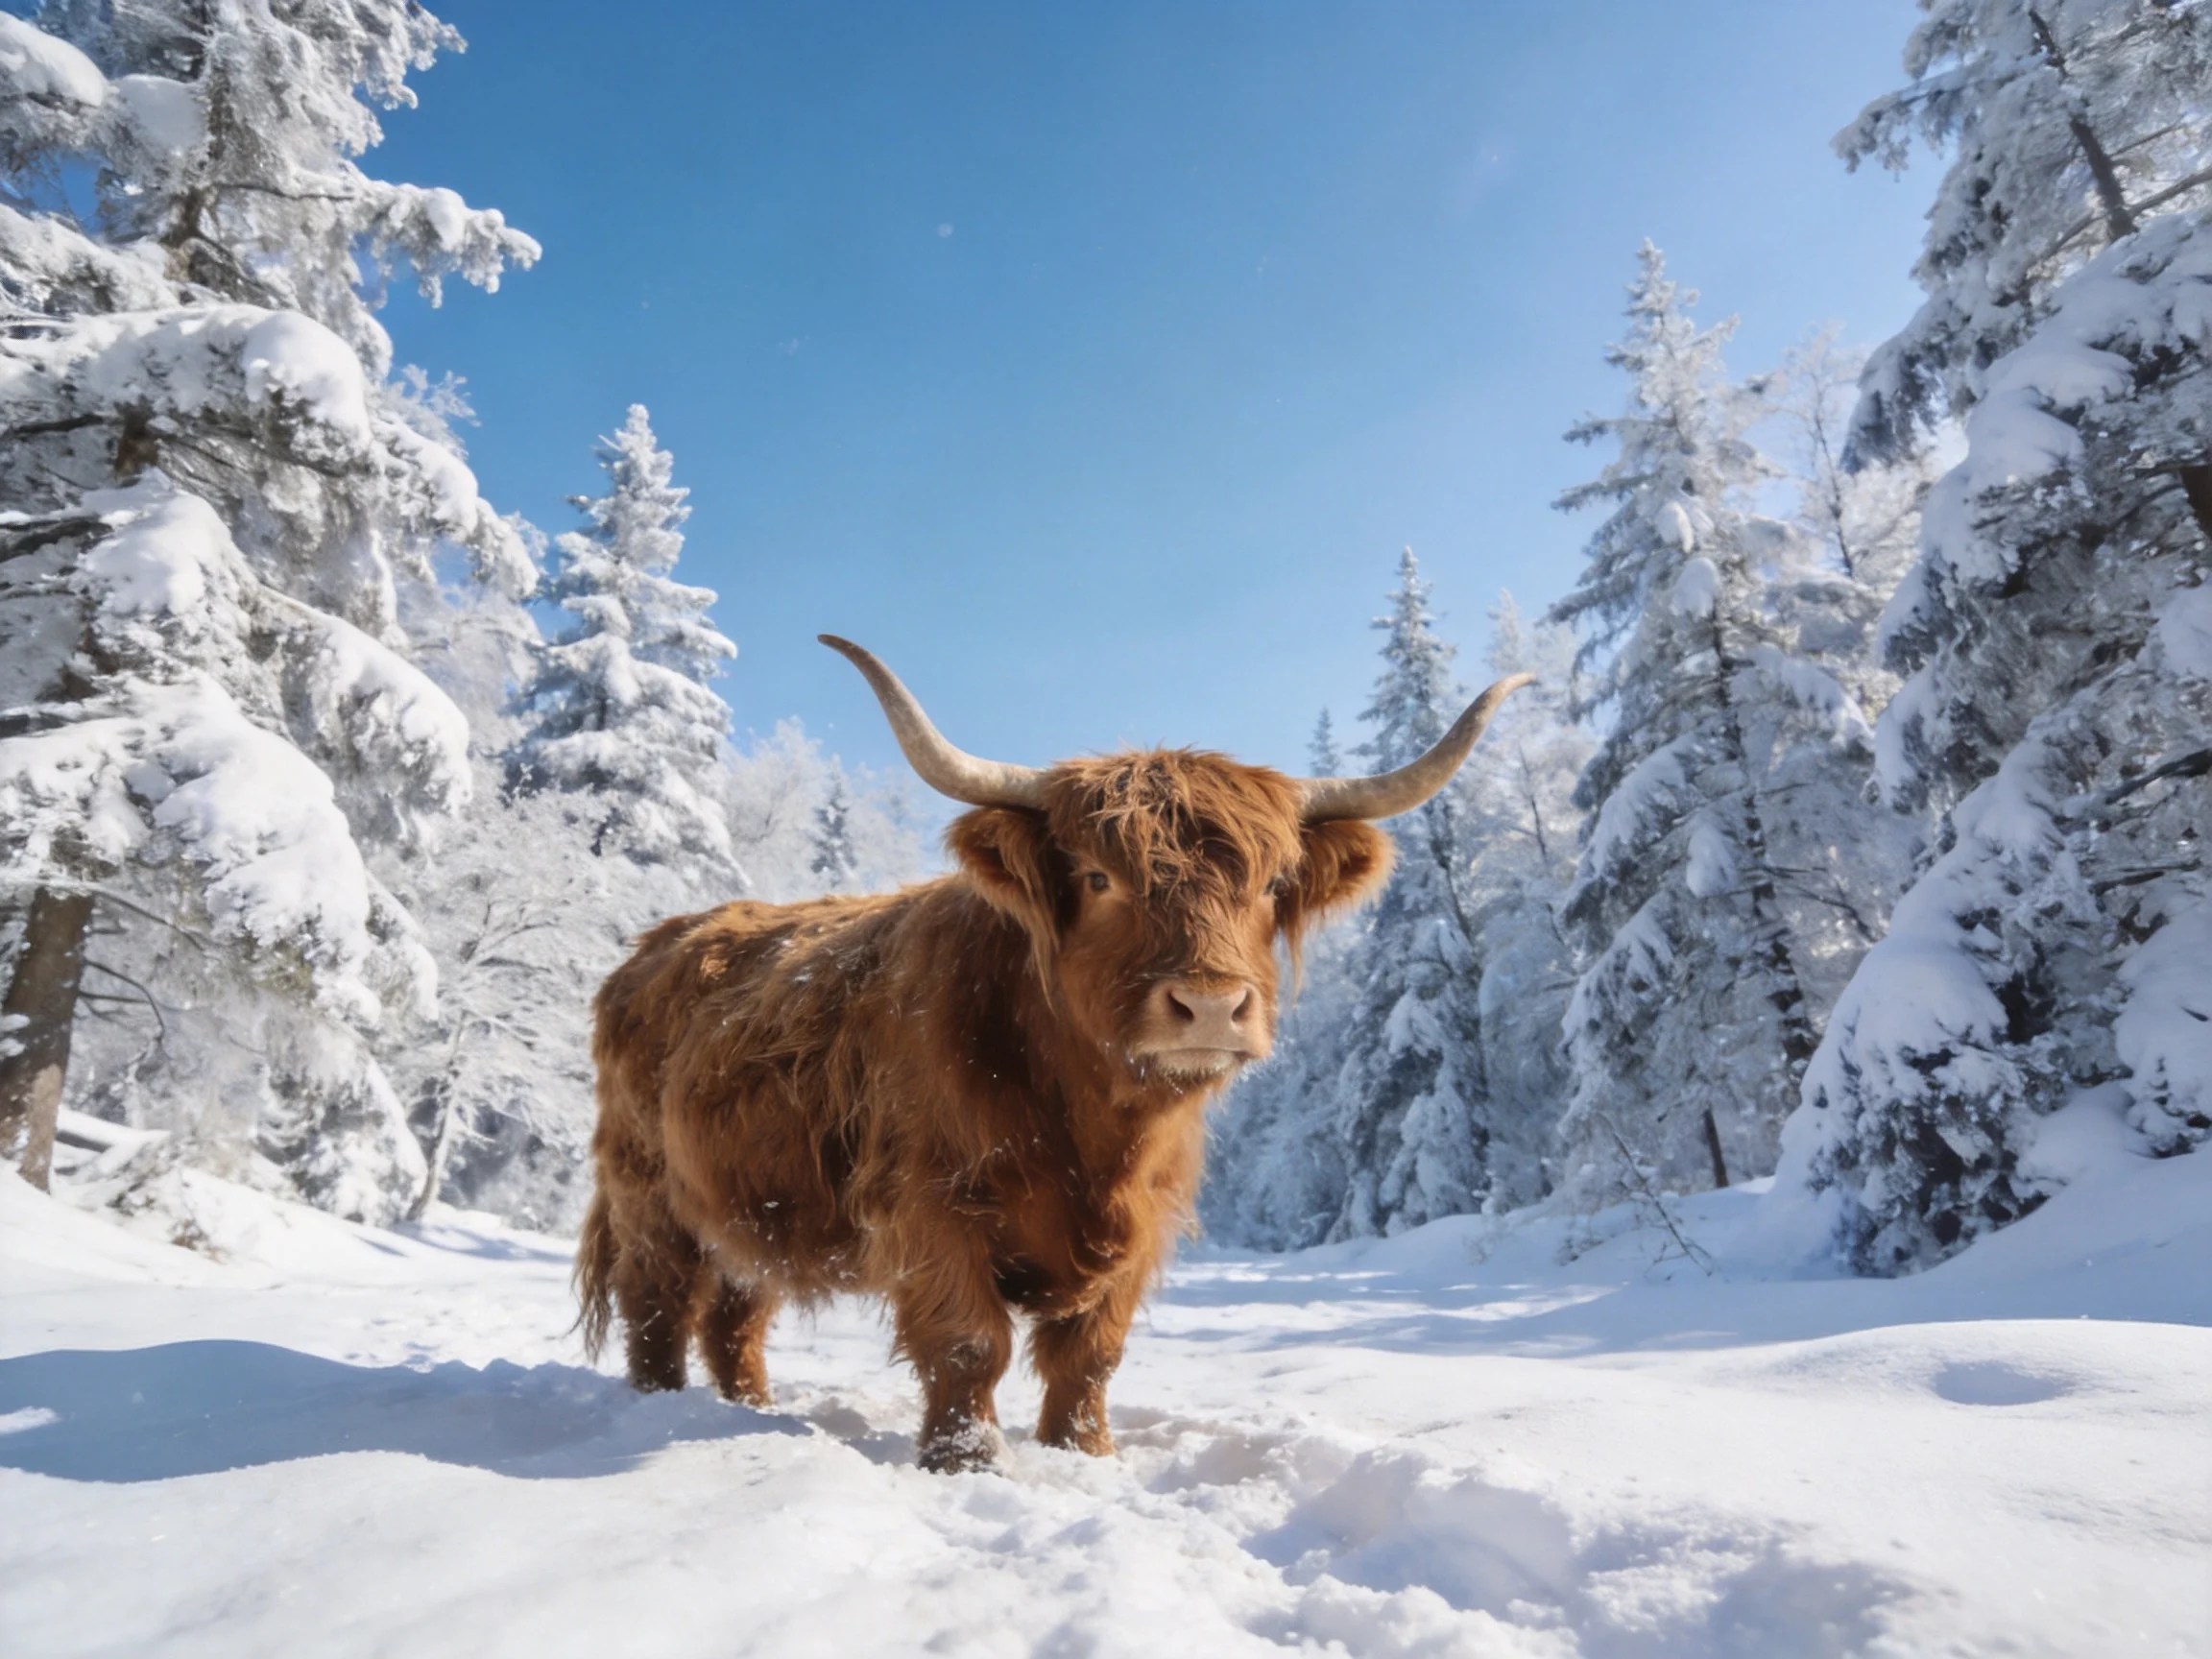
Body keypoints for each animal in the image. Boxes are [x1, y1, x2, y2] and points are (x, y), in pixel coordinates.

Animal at [576, 635, 1531, 1471]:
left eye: (1270, 884)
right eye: (1102, 879)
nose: (1210, 1005)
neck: (1095, 1124)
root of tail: (653, 945)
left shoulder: (1143, 1224)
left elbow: (1090, 1354)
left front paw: (1088, 1458)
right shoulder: (930, 1206)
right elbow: (969, 1346)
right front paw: (965, 1465)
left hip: (748, 1208)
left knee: (735, 1319)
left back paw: (751, 1411)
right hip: (649, 1195)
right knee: (657, 1307)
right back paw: (664, 1411)